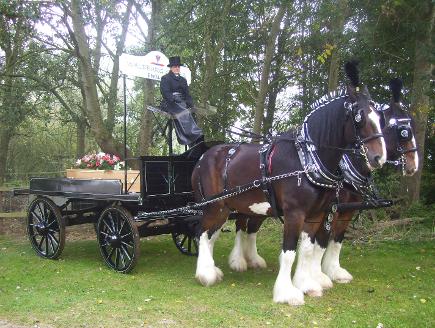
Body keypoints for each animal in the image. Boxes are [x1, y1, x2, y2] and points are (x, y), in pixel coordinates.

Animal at [192, 62, 386, 304]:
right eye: (359, 117)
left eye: (380, 117)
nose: (379, 158)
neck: (306, 160)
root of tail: (203, 157)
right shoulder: (295, 213)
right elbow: (289, 252)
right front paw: (286, 292)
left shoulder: (317, 214)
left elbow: (308, 250)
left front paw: (307, 284)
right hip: (214, 206)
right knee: (202, 232)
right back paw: (205, 274)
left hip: (228, 207)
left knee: (212, 234)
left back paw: (214, 270)